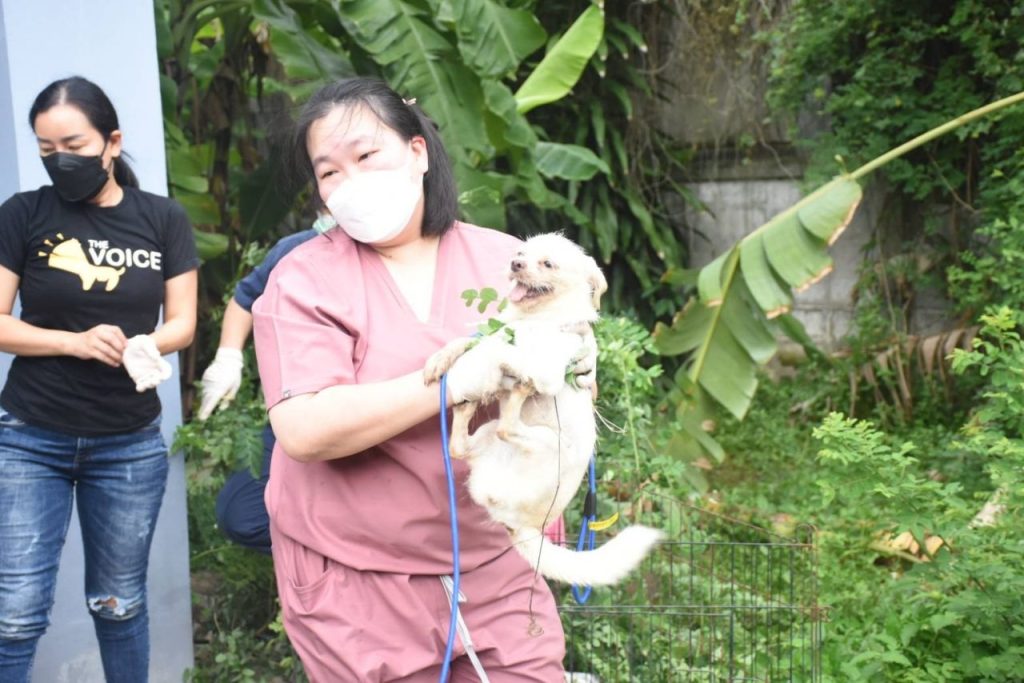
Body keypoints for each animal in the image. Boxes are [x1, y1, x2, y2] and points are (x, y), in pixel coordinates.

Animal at [423, 232, 663, 585]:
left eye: (548, 263)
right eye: (521, 253)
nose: (514, 264)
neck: (537, 319)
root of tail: (523, 528)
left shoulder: (549, 372)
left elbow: (500, 349)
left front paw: (492, 360)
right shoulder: (501, 329)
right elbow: (470, 340)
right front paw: (440, 359)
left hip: (551, 443)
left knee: (507, 425)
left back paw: (515, 390)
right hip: (488, 436)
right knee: (459, 446)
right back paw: (469, 407)